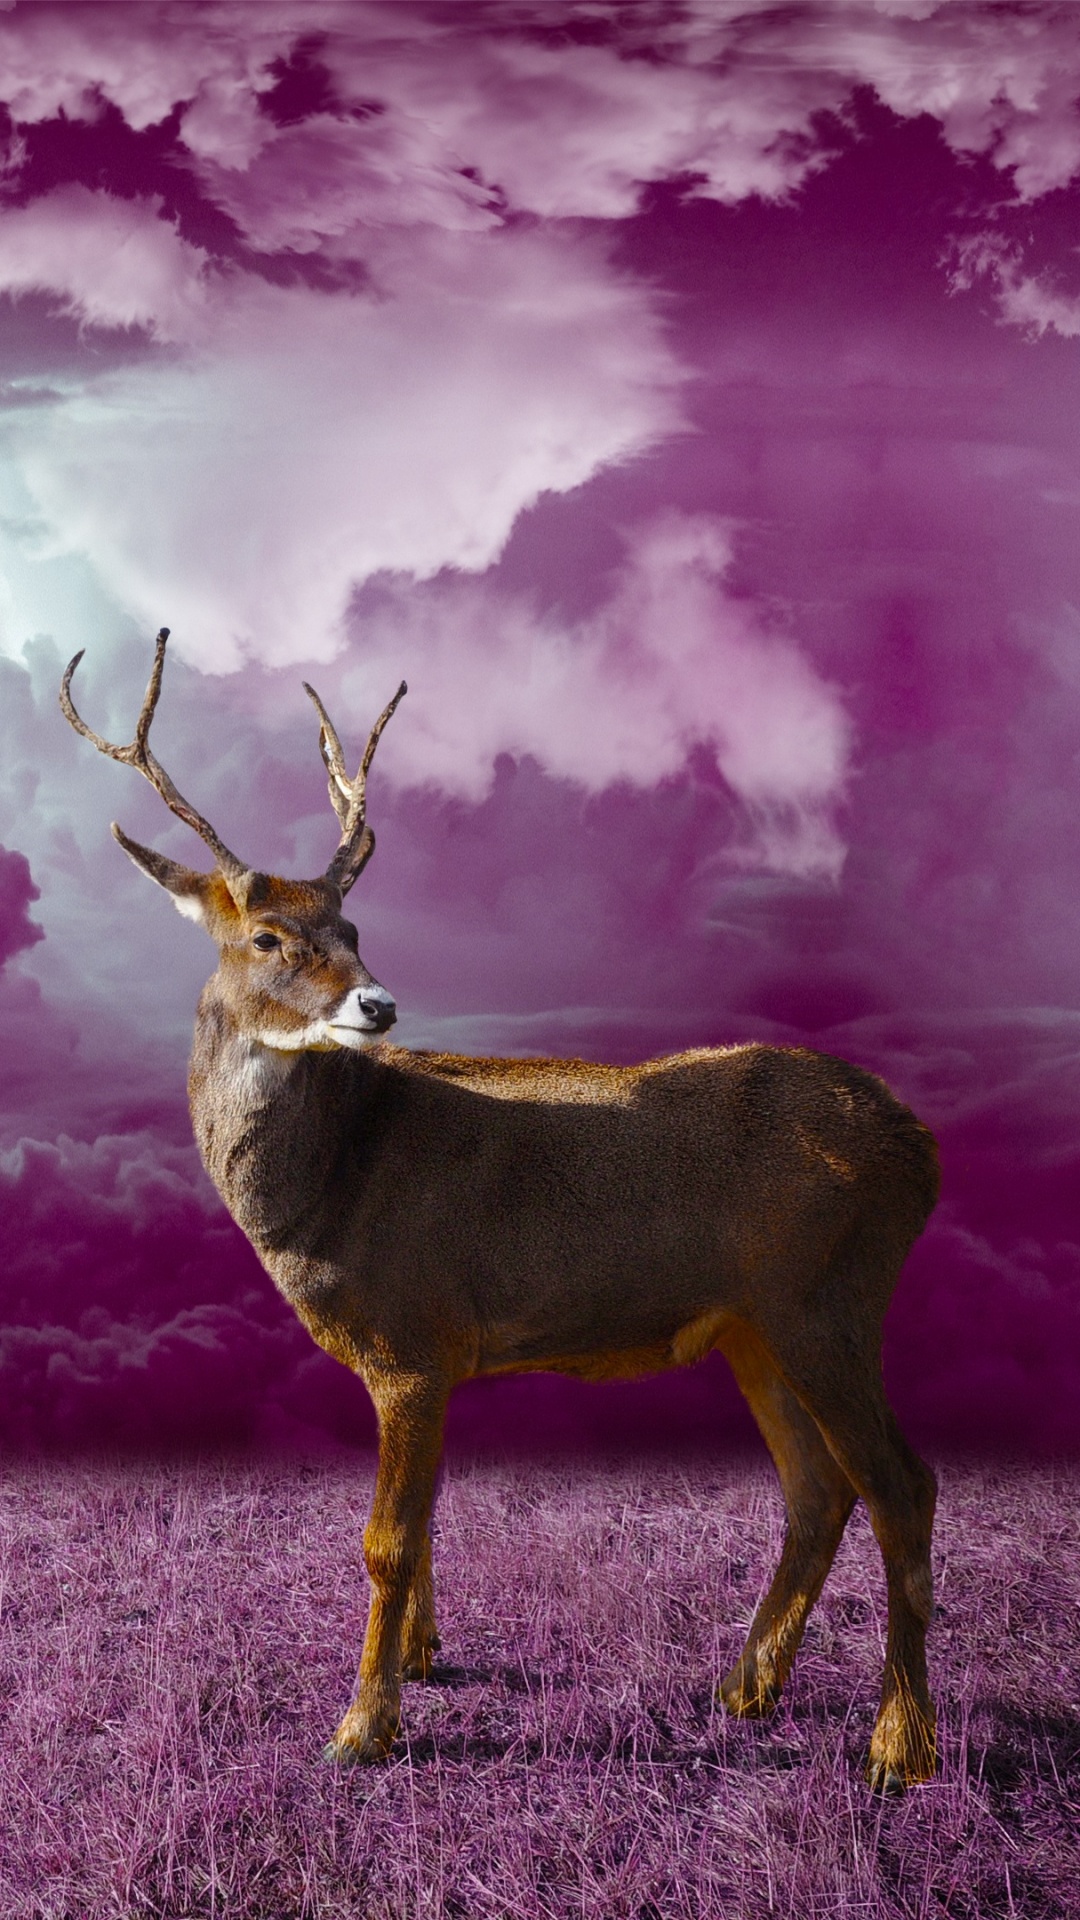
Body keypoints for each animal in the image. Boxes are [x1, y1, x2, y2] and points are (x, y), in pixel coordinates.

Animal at [61, 627, 941, 1794]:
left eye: (351, 922)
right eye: (266, 939)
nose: (378, 1002)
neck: (330, 1184)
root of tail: (922, 1149)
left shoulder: (412, 1334)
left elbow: (386, 1538)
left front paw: (362, 1727)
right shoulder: (430, 1355)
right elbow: (426, 1518)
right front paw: (424, 1660)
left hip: (830, 1297)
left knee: (902, 1485)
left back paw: (899, 1744)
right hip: (758, 1324)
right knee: (818, 1490)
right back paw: (746, 1688)